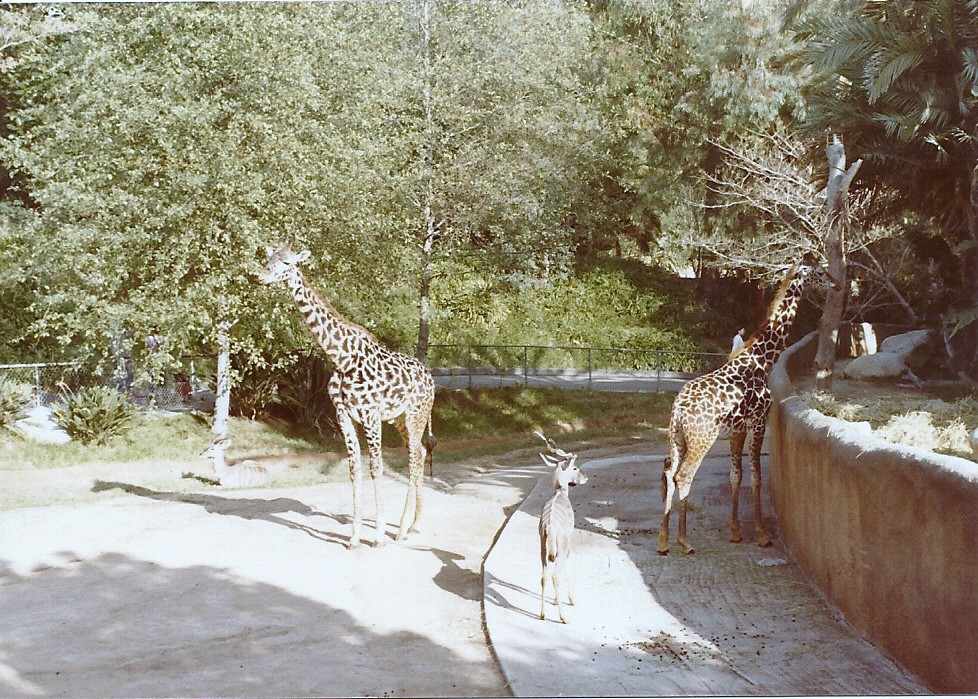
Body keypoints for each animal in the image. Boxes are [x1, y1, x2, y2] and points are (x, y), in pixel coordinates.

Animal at [259, 242, 436, 548]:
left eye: (287, 263)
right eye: (270, 258)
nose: (261, 276)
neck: (341, 357)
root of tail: (433, 381)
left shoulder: (371, 415)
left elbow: (377, 467)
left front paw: (377, 536)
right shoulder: (344, 414)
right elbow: (354, 469)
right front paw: (354, 537)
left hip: (416, 415)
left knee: (414, 456)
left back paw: (401, 529)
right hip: (400, 419)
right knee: (421, 452)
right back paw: (414, 524)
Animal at [659, 252, 840, 556]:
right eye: (820, 271)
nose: (838, 284)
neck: (762, 360)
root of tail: (678, 412)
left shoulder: (737, 429)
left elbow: (736, 475)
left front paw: (735, 532)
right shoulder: (758, 421)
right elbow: (756, 476)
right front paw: (762, 534)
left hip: (677, 439)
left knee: (668, 470)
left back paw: (662, 540)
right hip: (701, 439)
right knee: (683, 476)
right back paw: (684, 542)